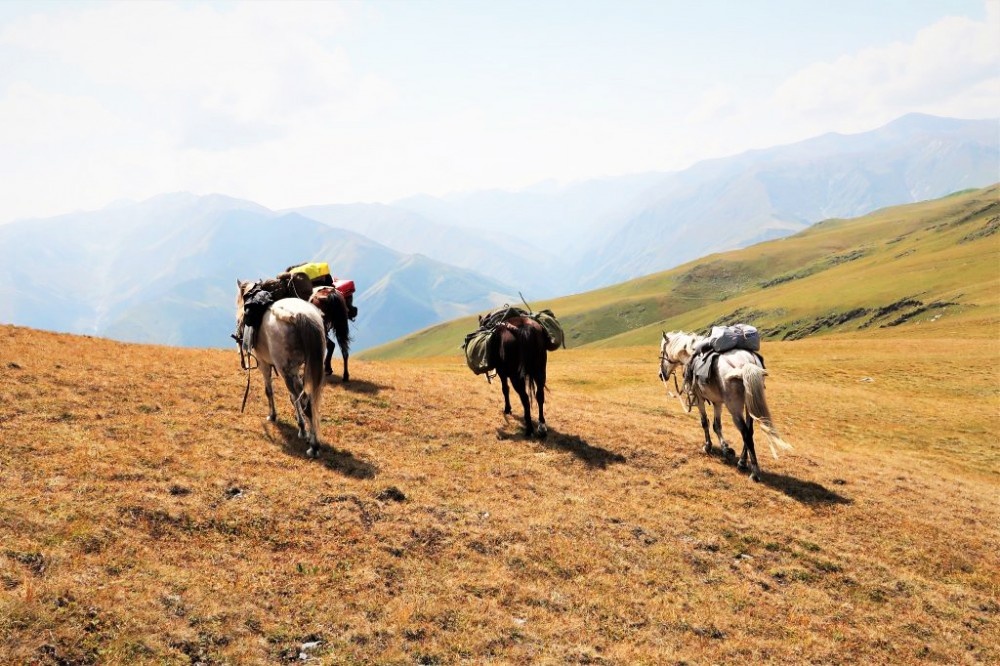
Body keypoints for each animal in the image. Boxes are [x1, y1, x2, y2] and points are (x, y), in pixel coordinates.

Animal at [656, 330, 788, 478]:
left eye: (662, 352)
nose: (661, 375)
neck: (691, 355)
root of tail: (747, 362)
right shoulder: (717, 402)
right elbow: (717, 425)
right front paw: (726, 448)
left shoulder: (699, 398)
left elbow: (705, 422)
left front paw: (708, 446)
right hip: (749, 405)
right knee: (750, 431)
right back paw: (742, 462)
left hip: (734, 407)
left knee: (745, 433)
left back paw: (754, 472)